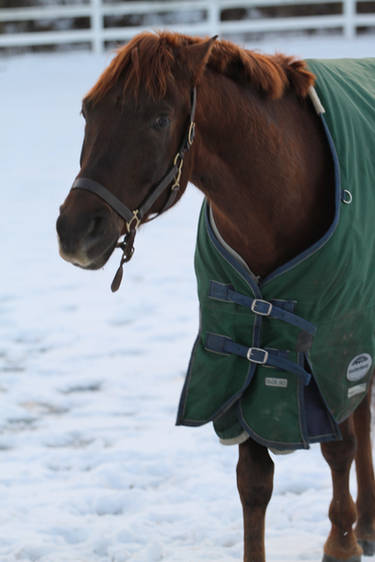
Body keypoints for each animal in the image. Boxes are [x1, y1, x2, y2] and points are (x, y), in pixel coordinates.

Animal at [56, 31, 375, 560]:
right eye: (88, 111)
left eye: (160, 119)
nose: (75, 230)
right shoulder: (241, 358)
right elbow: (254, 482)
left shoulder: (333, 350)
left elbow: (338, 448)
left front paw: (341, 541)